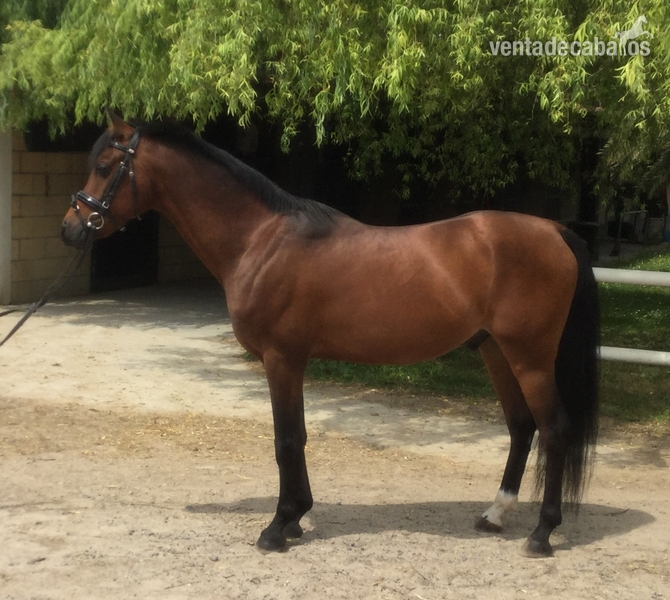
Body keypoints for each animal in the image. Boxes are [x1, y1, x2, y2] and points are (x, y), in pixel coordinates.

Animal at [61, 112, 600, 558]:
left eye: (106, 165)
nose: (71, 229)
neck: (262, 240)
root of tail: (554, 230)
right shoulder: (291, 360)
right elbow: (297, 437)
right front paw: (297, 519)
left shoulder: (281, 358)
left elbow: (285, 439)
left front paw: (277, 528)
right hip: (496, 352)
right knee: (521, 427)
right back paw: (495, 514)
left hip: (530, 357)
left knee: (554, 430)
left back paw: (541, 534)